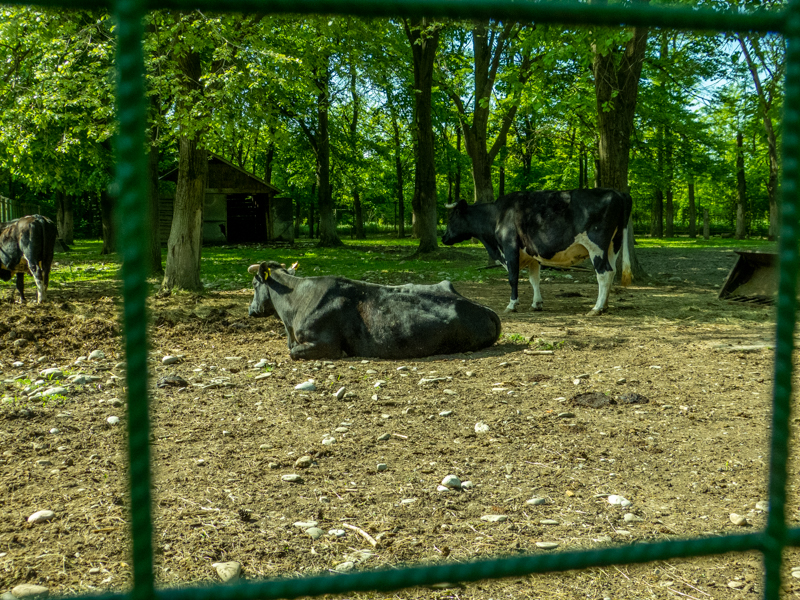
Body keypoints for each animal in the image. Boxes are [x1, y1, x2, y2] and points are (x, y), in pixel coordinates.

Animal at [441, 188, 632, 316]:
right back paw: (605, 305)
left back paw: (596, 308)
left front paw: (512, 305)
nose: (443, 237)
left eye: (452, 217)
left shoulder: (510, 247)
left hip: (596, 246)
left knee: (604, 273)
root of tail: (617, 192)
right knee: (612, 272)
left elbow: (513, 278)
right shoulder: (531, 254)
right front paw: (536, 304)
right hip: (613, 245)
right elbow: (534, 280)